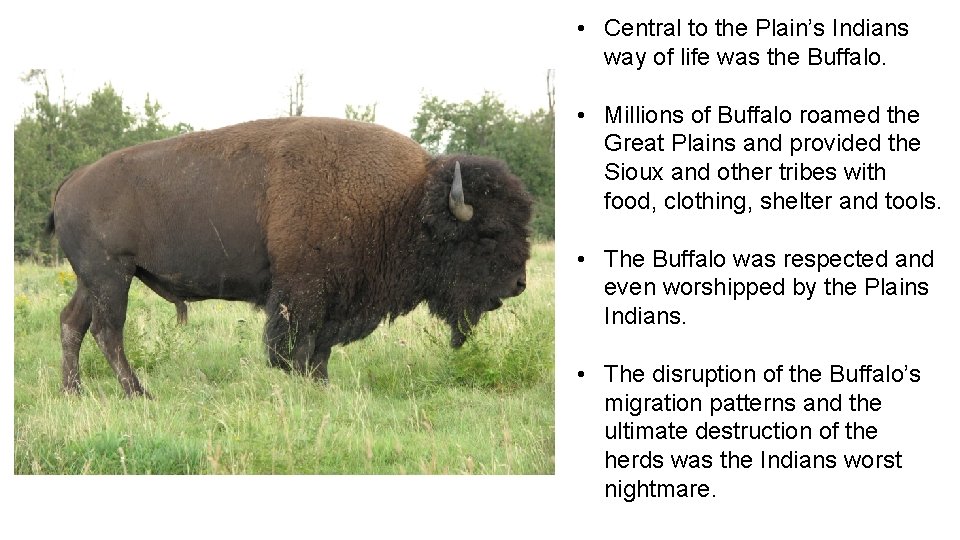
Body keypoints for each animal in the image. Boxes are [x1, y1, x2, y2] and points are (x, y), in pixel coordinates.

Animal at [47, 117, 533, 397]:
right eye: (489, 234)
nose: (519, 284)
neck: (406, 204)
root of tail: (72, 181)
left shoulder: (335, 298)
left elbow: (320, 349)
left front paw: (323, 385)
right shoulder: (303, 292)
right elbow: (296, 345)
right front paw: (302, 381)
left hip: (95, 280)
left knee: (73, 323)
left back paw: (74, 392)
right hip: (112, 275)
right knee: (107, 332)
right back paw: (137, 392)